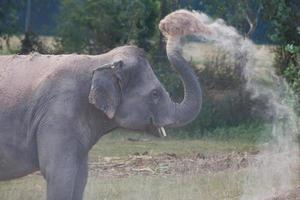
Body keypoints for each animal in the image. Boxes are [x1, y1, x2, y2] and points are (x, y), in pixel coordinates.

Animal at [0, 36, 202, 200]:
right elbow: (58, 174)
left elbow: (81, 177)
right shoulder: (57, 116)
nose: (168, 28)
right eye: (155, 94)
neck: (100, 60)